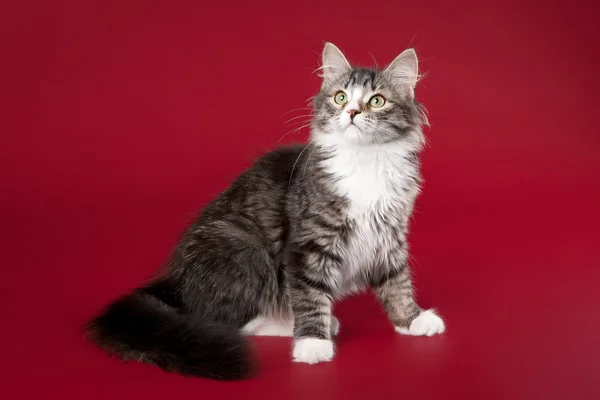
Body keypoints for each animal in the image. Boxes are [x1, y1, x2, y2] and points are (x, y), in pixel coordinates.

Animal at [85, 41, 446, 382]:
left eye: (376, 101)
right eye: (341, 97)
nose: (353, 112)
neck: (365, 160)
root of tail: (177, 282)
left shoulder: (389, 235)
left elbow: (397, 282)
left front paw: (412, 320)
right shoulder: (309, 243)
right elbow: (309, 293)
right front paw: (312, 343)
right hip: (243, 246)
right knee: (230, 319)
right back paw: (298, 324)